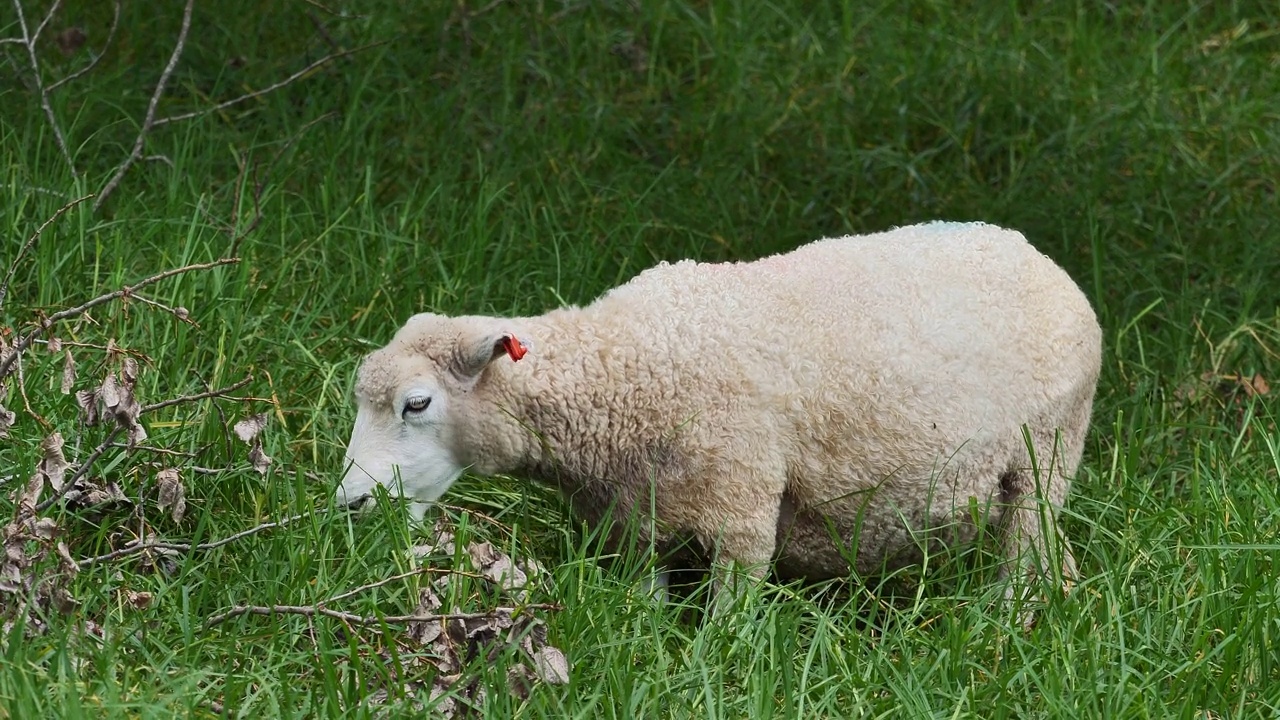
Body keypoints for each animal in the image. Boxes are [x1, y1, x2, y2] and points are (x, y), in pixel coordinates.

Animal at [337, 219, 1100, 617]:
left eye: (416, 404)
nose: (349, 505)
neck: (626, 368)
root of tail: (1037, 256)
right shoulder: (634, 523)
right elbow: (642, 605)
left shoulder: (742, 511)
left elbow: (729, 623)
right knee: (1052, 558)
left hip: (1046, 454)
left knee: (1026, 557)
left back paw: (1002, 625)